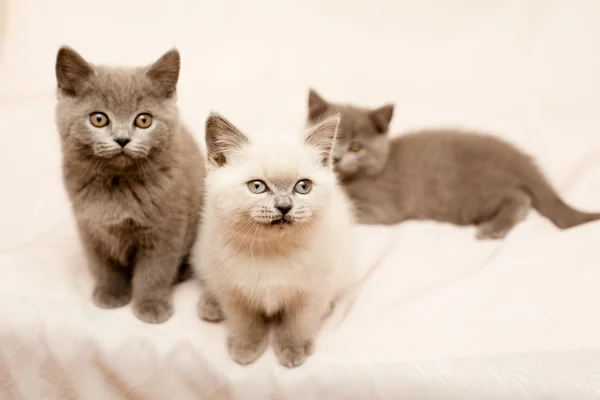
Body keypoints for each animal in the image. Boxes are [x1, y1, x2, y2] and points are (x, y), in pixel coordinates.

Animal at [56, 46, 206, 322]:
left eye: (144, 120)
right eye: (99, 119)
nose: (122, 139)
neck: (118, 186)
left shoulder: (167, 227)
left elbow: (155, 270)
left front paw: (151, 305)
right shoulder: (90, 227)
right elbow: (103, 265)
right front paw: (111, 293)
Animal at [192, 111, 354, 368]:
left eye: (303, 186)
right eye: (257, 186)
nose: (284, 207)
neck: (271, 251)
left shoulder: (312, 291)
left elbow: (299, 322)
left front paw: (293, 349)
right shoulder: (234, 290)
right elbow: (244, 320)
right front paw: (245, 347)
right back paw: (210, 305)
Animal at [308, 90, 600, 238]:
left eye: (356, 147)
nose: (336, 158)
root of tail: (516, 155)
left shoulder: (384, 206)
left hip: (472, 195)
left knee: (521, 199)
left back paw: (493, 229)